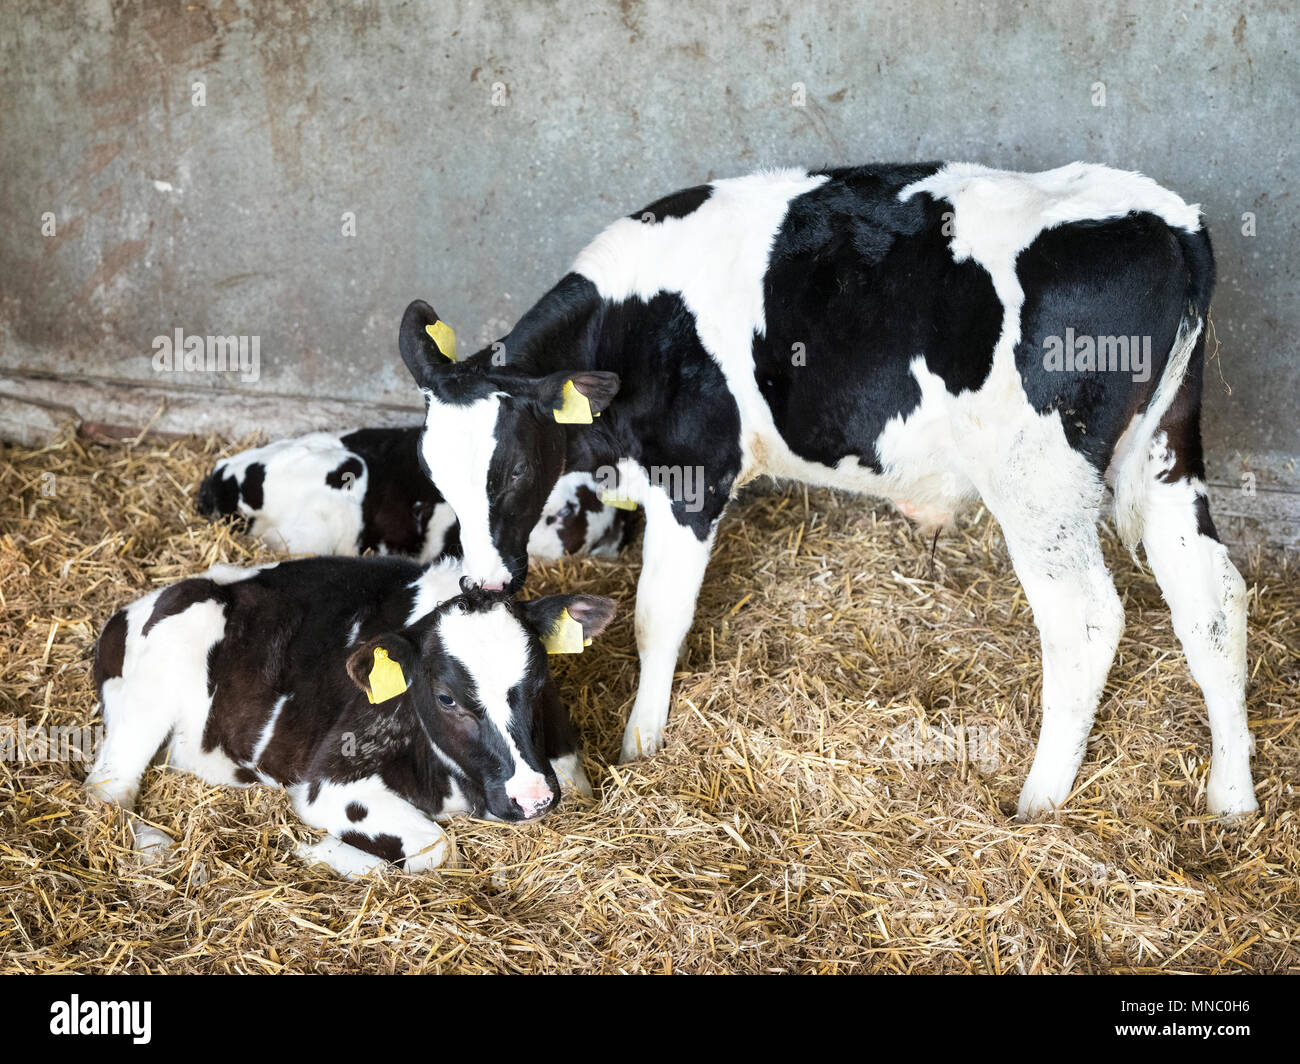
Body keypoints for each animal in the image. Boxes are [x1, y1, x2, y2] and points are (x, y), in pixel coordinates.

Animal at [85, 555, 617, 876]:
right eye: (446, 698)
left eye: (540, 680)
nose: (532, 798)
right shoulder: (329, 784)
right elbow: (436, 847)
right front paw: (313, 850)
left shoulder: (564, 769)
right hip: (149, 698)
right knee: (107, 791)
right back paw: (155, 845)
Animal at [395, 162, 1258, 820]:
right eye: (435, 471)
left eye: (512, 468)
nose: (485, 582)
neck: (638, 321)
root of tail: (1171, 219)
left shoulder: (692, 474)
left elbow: (656, 619)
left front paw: (641, 745)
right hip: (1166, 446)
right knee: (1209, 595)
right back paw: (1231, 795)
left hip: (1039, 481)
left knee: (1085, 620)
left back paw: (1039, 799)